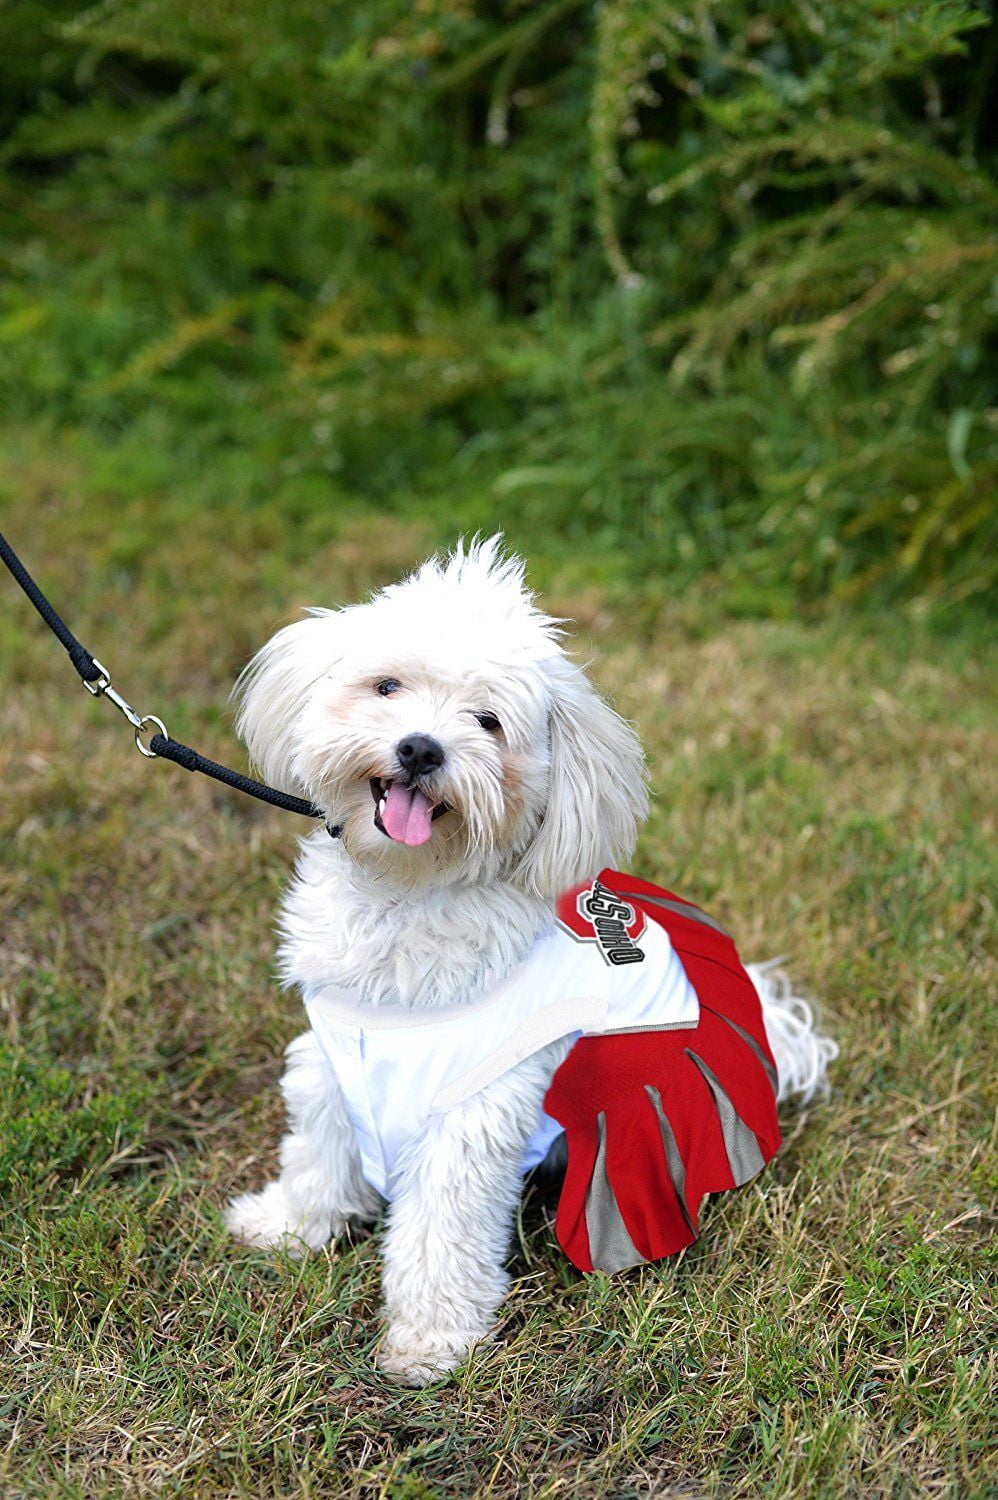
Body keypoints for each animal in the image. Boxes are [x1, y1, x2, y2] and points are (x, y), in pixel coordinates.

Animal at [225, 537, 834, 1380]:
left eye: (488, 722)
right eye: (388, 686)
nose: (421, 748)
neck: (408, 892)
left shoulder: (471, 1111)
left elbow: (441, 1230)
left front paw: (430, 1340)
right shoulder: (332, 1054)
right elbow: (318, 1149)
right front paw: (289, 1224)